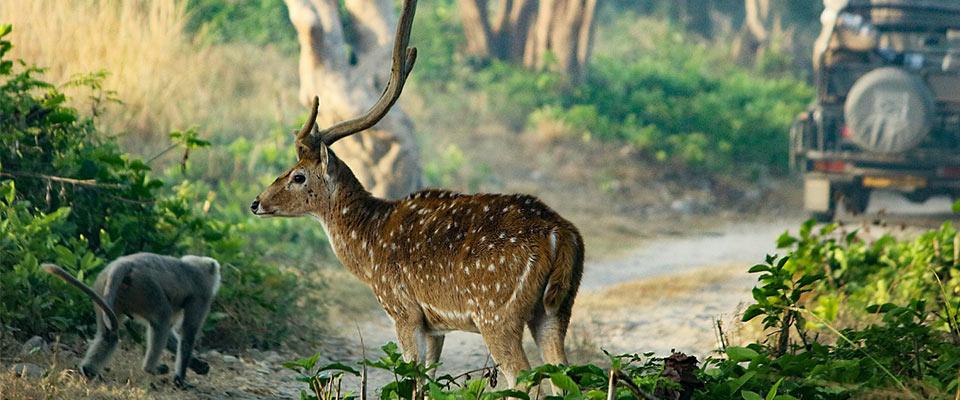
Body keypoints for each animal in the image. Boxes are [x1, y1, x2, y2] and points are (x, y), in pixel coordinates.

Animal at [250, 0, 583, 388]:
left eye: (298, 176)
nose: (256, 202)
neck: (367, 248)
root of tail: (561, 235)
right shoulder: (435, 325)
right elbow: (427, 379)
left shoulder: (402, 309)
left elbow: (408, 376)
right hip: (557, 308)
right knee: (565, 374)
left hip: (497, 312)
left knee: (526, 380)